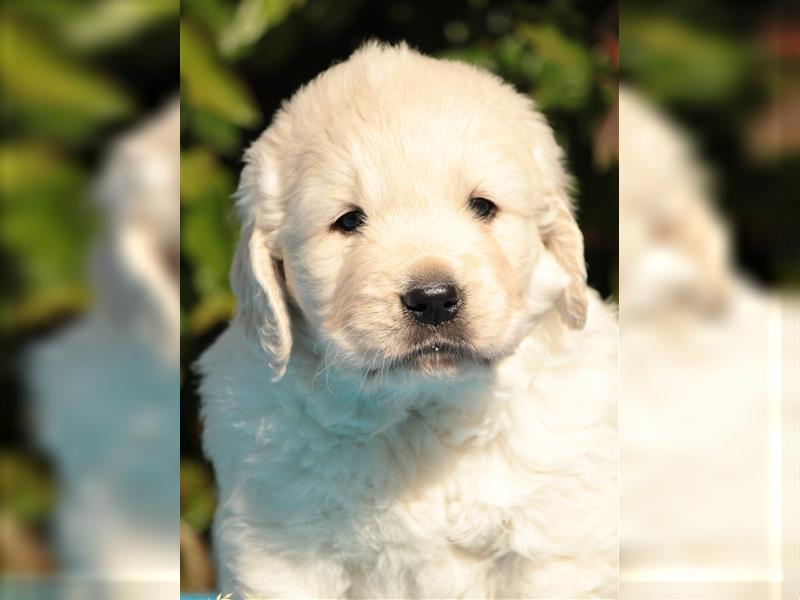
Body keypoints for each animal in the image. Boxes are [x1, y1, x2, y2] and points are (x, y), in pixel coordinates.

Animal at [200, 42, 620, 600]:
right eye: (348, 221)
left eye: (482, 206)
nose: (434, 300)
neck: (418, 415)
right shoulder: (279, 549)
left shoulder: (555, 543)